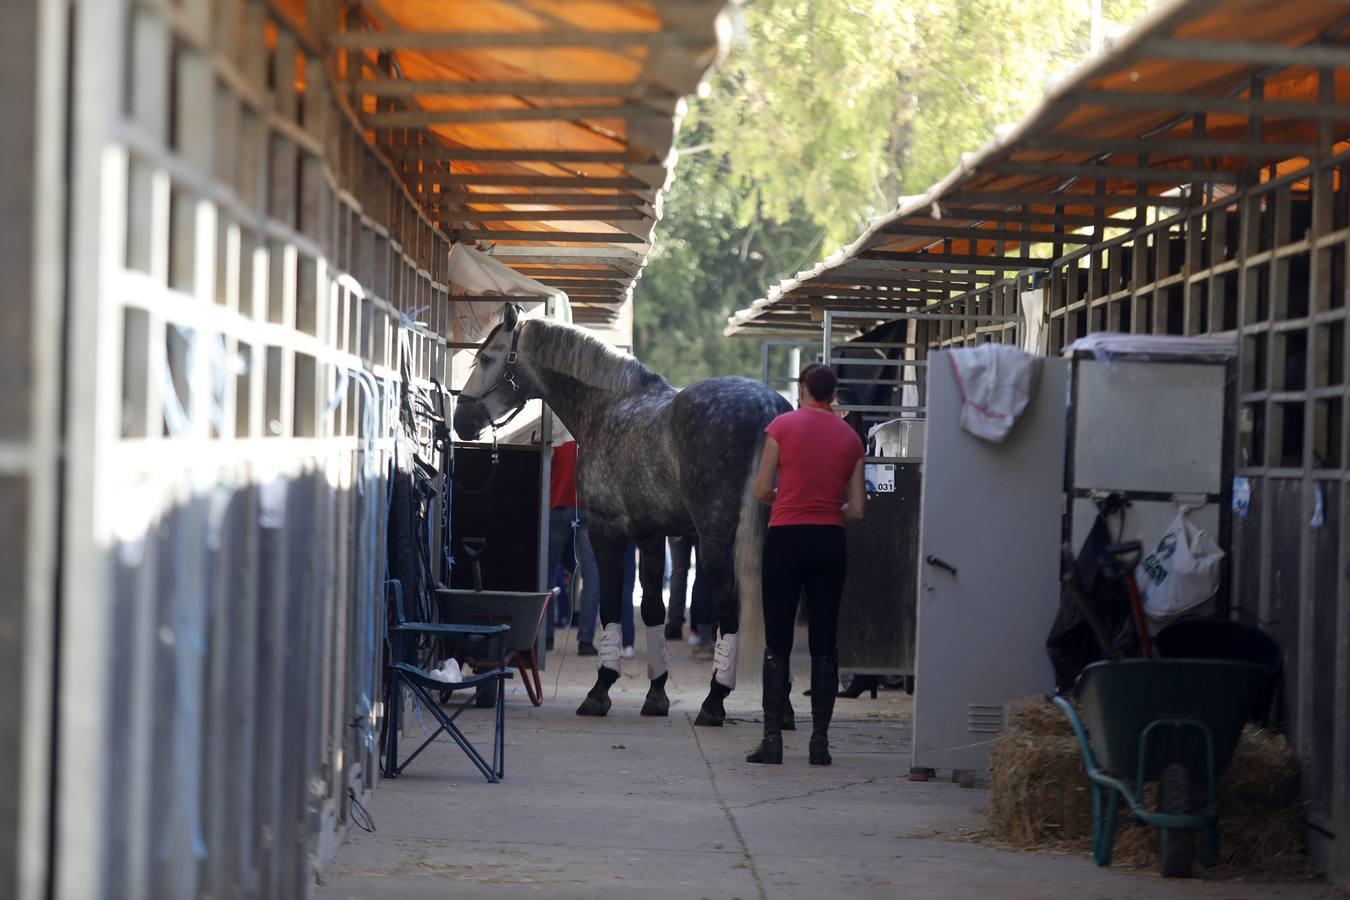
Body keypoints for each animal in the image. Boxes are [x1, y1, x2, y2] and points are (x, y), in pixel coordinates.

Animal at [453, 307, 788, 723]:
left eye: (486, 358)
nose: (461, 421)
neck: (607, 406)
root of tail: (765, 406)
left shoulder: (606, 532)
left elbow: (610, 605)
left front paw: (600, 691)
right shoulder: (650, 536)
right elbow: (653, 609)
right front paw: (656, 694)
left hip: (717, 541)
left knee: (729, 608)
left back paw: (714, 700)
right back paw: (784, 710)